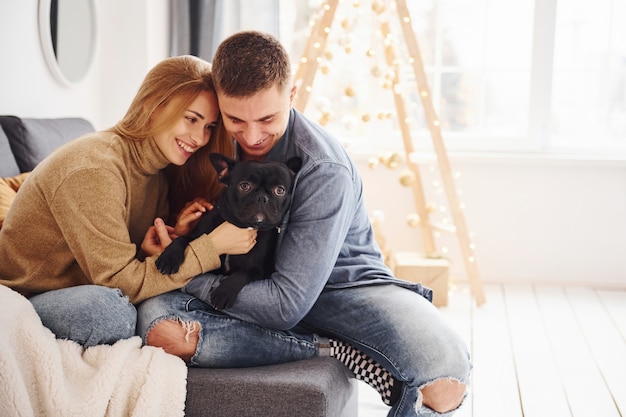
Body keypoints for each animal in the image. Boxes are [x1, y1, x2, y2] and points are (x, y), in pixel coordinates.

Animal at [157, 153, 302, 308]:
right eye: (244, 186)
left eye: (280, 190)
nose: (262, 198)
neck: (241, 226)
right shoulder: (197, 235)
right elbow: (182, 238)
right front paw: (169, 258)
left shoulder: (259, 270)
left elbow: (242, 274)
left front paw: (223, 293)